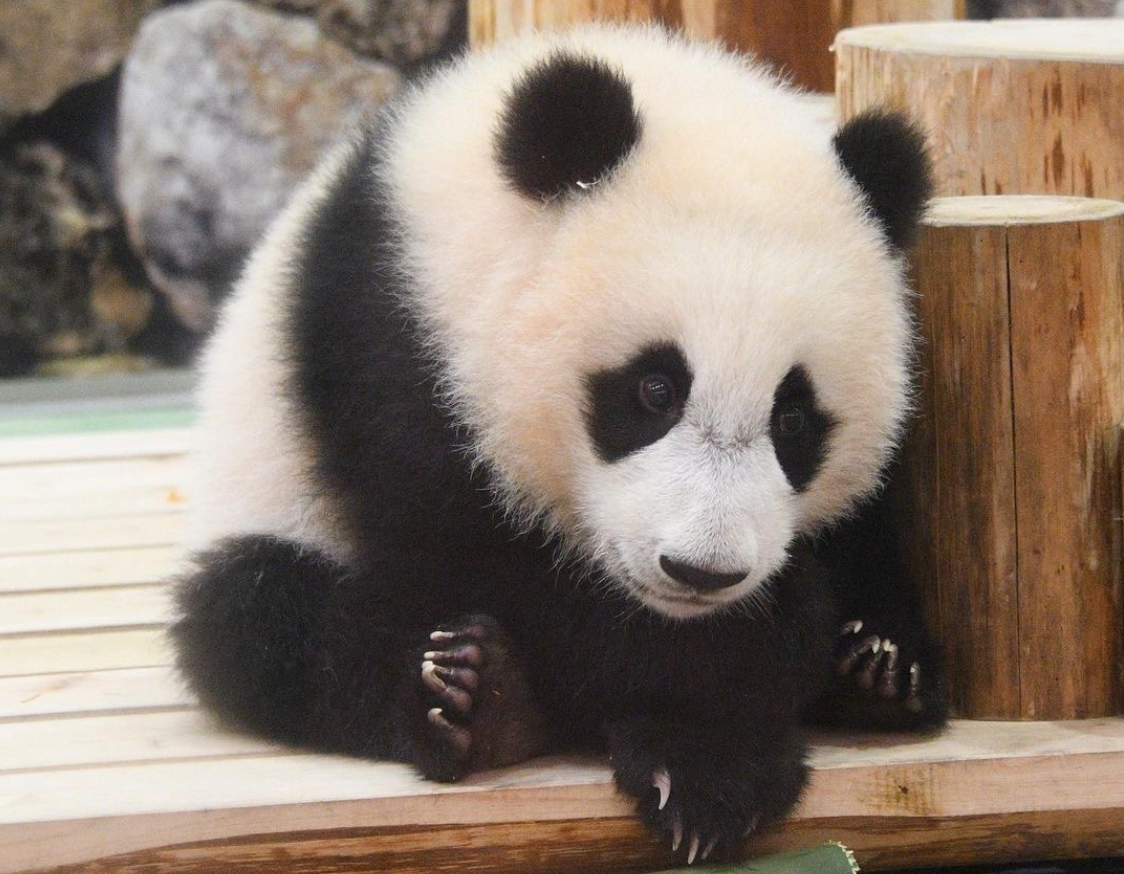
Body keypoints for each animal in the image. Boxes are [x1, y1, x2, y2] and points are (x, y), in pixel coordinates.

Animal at [172, 24, 946, 862]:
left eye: (793, 420)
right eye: (653, 390)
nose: (701, 572)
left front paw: (874, 658)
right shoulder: (390, 349)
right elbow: (483, 563)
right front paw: (721, 728)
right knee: (256, 620)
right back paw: (476, 699)